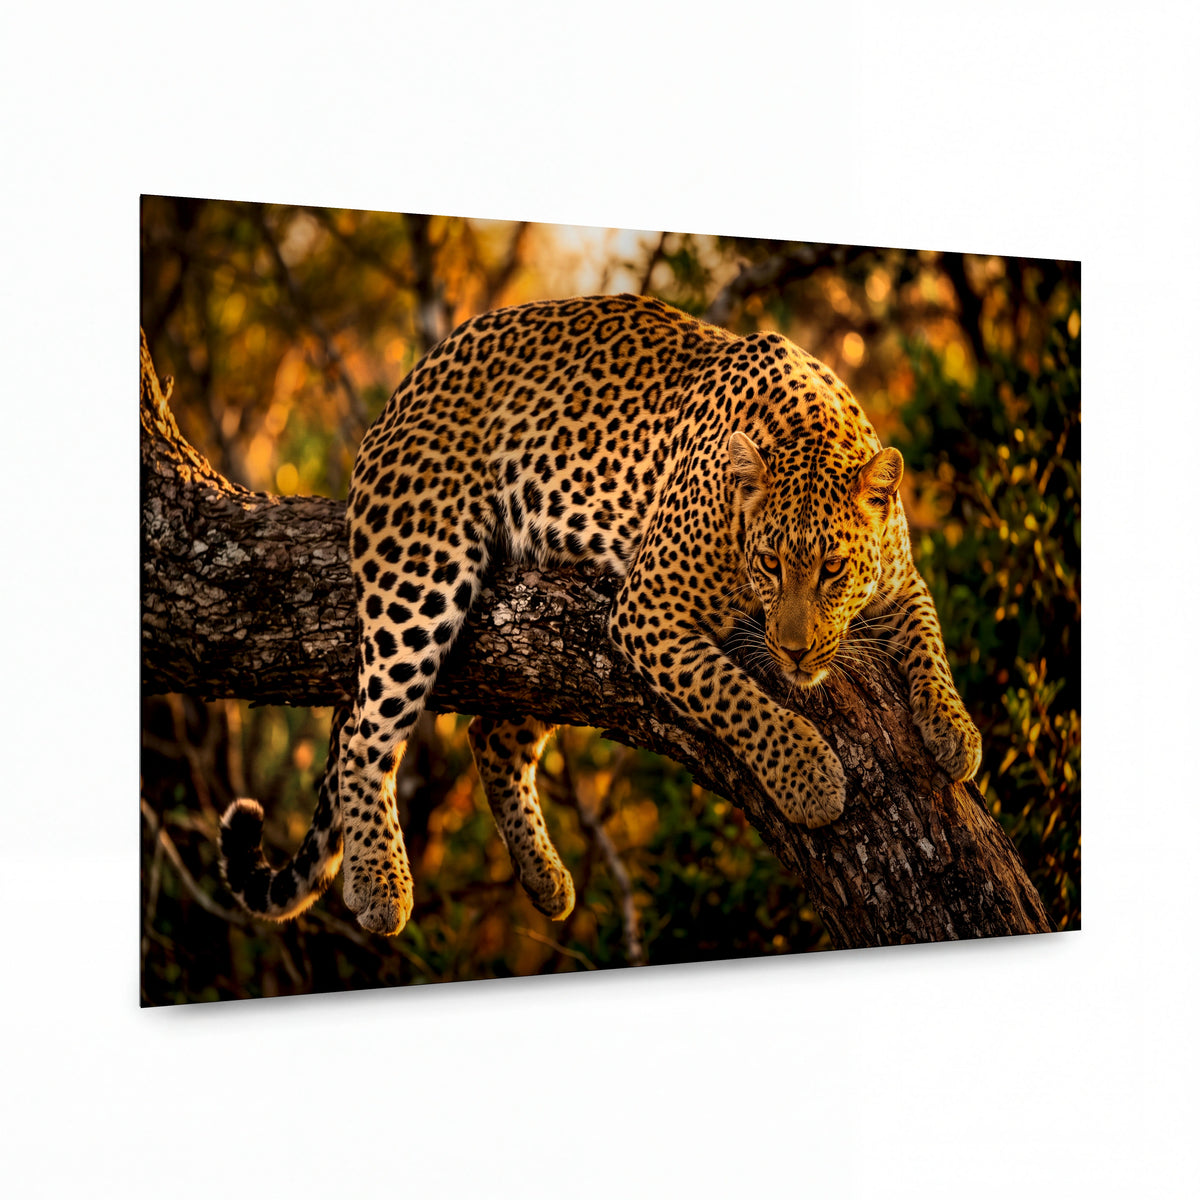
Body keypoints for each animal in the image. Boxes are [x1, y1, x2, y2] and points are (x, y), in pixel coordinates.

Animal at [219, 293, 982, 936]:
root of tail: (404, 388)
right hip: (421, 572)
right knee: (366, 734)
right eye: (769, 563)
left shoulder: (903, 582)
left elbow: (930, 640)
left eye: (832, 571)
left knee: (489, 735)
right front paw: (809, 776)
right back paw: (381, 884)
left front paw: (956, 734)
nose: (794, 651)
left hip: (541, 646)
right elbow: (736, 695)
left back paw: (545, 880)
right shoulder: (649, 610)